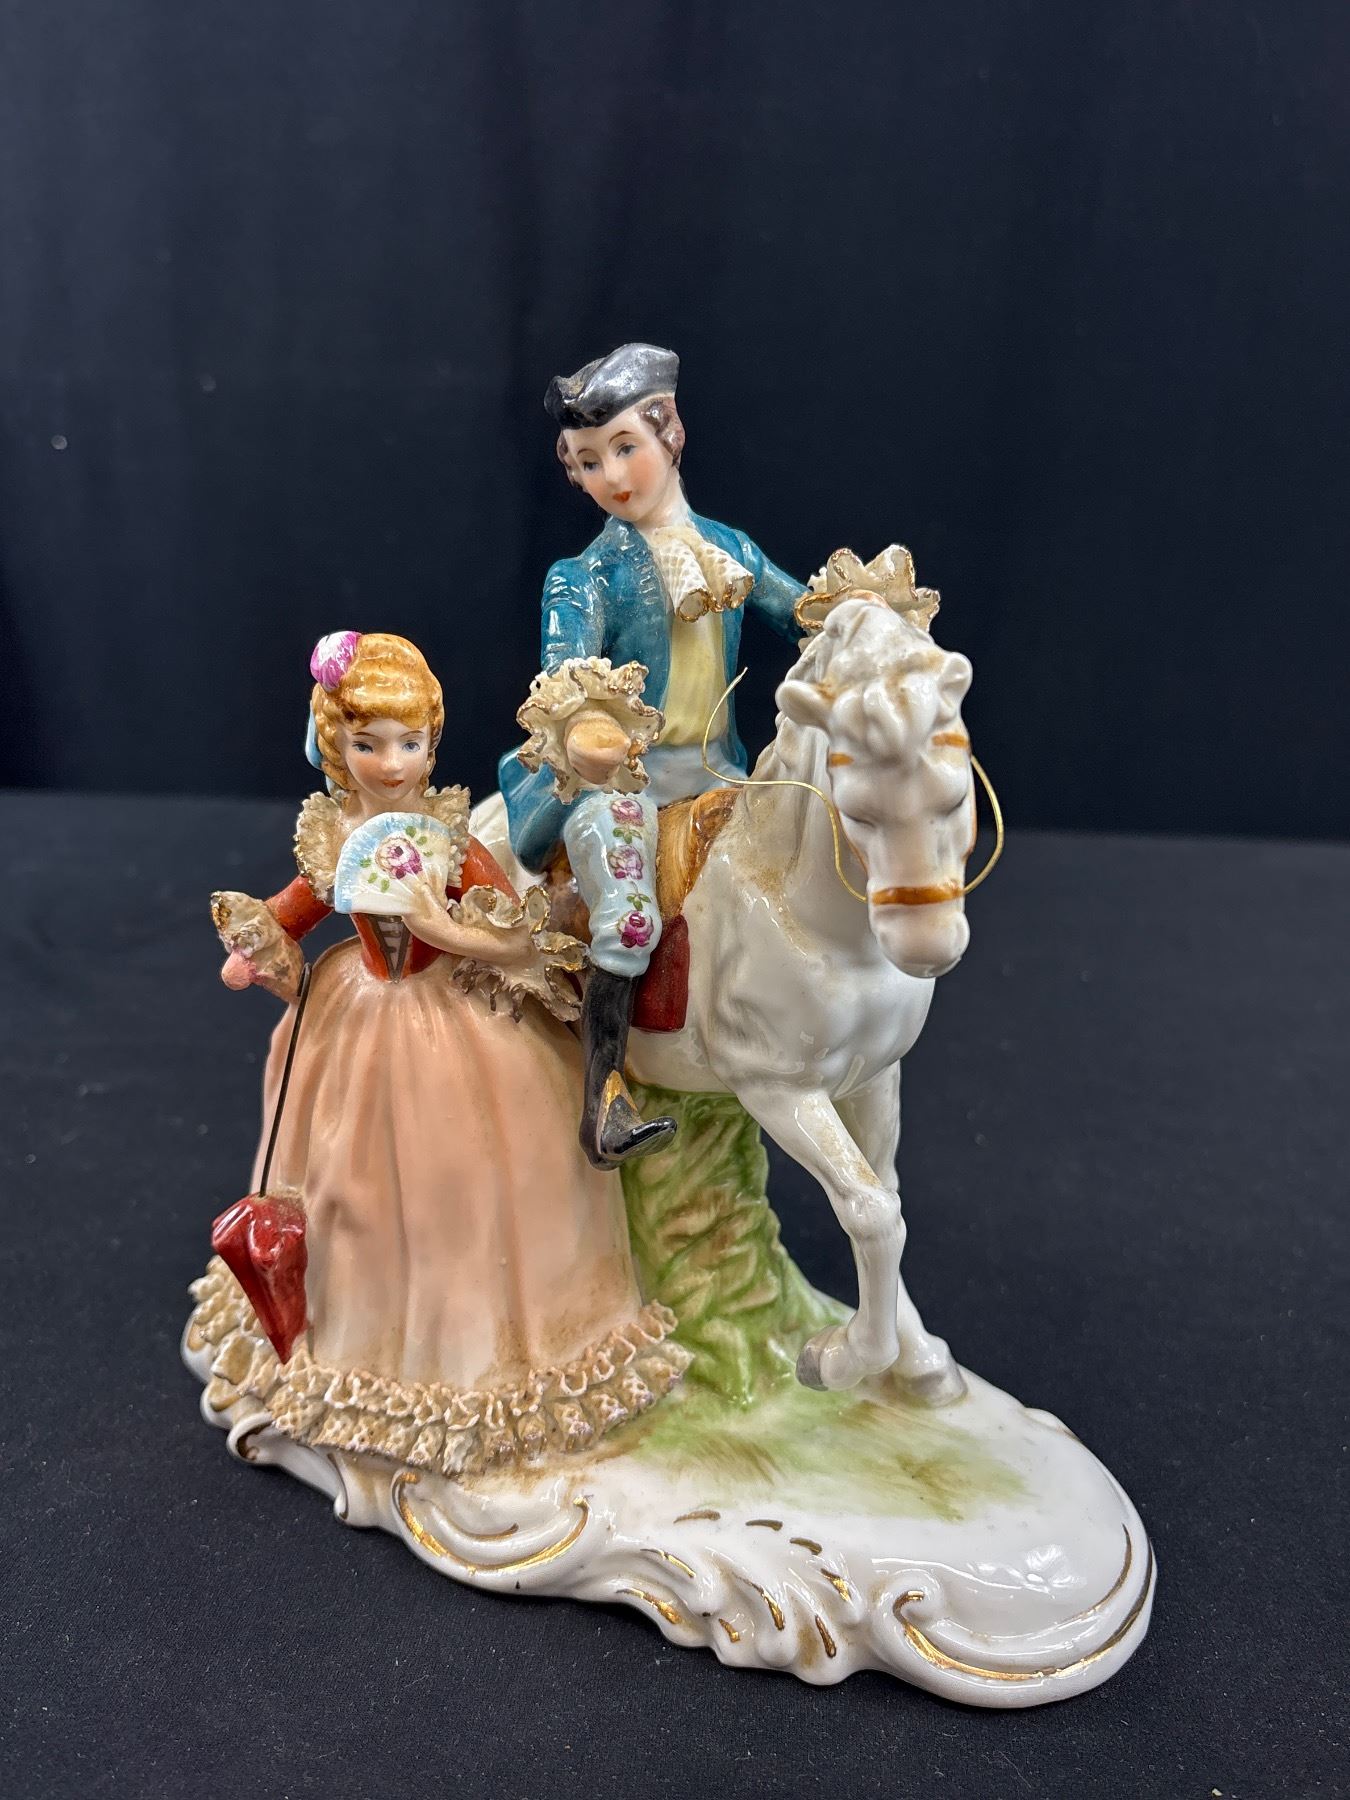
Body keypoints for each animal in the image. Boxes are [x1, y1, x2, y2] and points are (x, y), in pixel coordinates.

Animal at [473, 594, 979, 1401]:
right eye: (859, 813)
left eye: (956, 796)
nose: (927, 945)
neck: (818, 925)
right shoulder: (780, 1091)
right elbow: (870, 1211)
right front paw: (838, 1359)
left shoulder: (876, 1077)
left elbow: (890, 1195)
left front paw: (921, 1361)